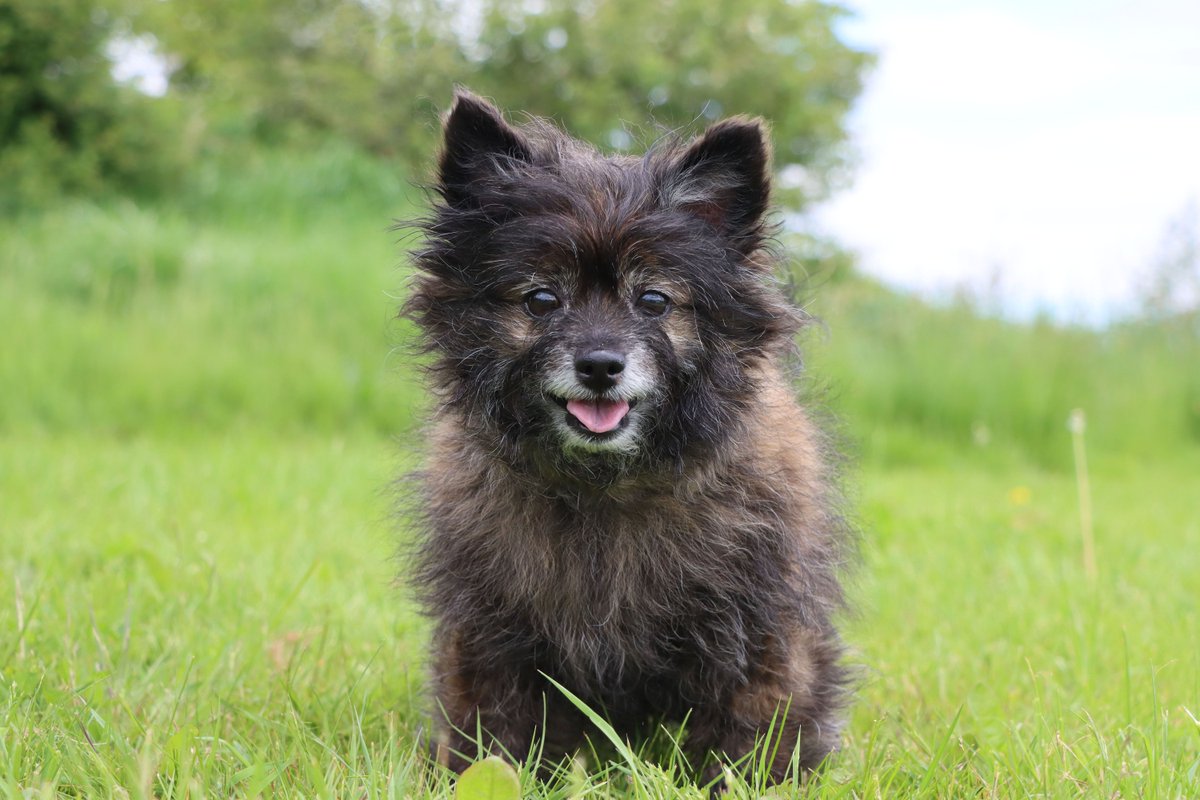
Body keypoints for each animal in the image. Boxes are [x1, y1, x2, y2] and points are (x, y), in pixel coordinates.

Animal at [405, 89, 854, 786]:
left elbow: (752, 730)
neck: (605, 486)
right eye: (541, 299)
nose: (599, 365)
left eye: (654, 300)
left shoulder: (757, 631)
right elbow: (496, 733)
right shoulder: (491, 634)